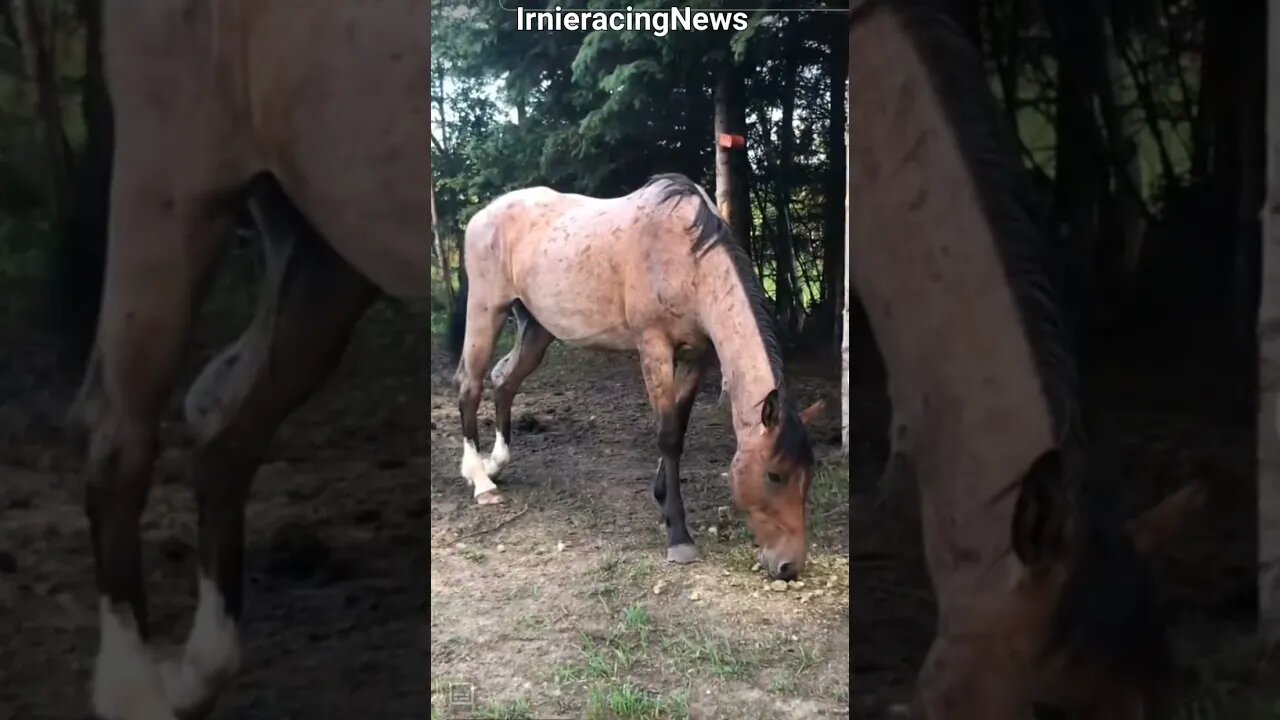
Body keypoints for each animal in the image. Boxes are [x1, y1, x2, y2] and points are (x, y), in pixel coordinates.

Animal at [68, 1, 424, 717]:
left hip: (326, 252)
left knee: (226, 428)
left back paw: (197, 673)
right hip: (169, 199)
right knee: (120, 435)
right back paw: (134, 689)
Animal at [455, 176, 824, 579]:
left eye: (809, 475)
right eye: (775, 475)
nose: (789, 565)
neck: (687, 257)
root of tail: (482, 215)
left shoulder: (696, 356)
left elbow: (678, 427)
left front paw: (662, 497)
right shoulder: (654, 347)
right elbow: (668, 436)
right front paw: (678, 535)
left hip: (536, 327)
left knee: (505, 380)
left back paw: (496, 464)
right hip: (486, 310)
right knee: (470, 385)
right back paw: (480, 482)